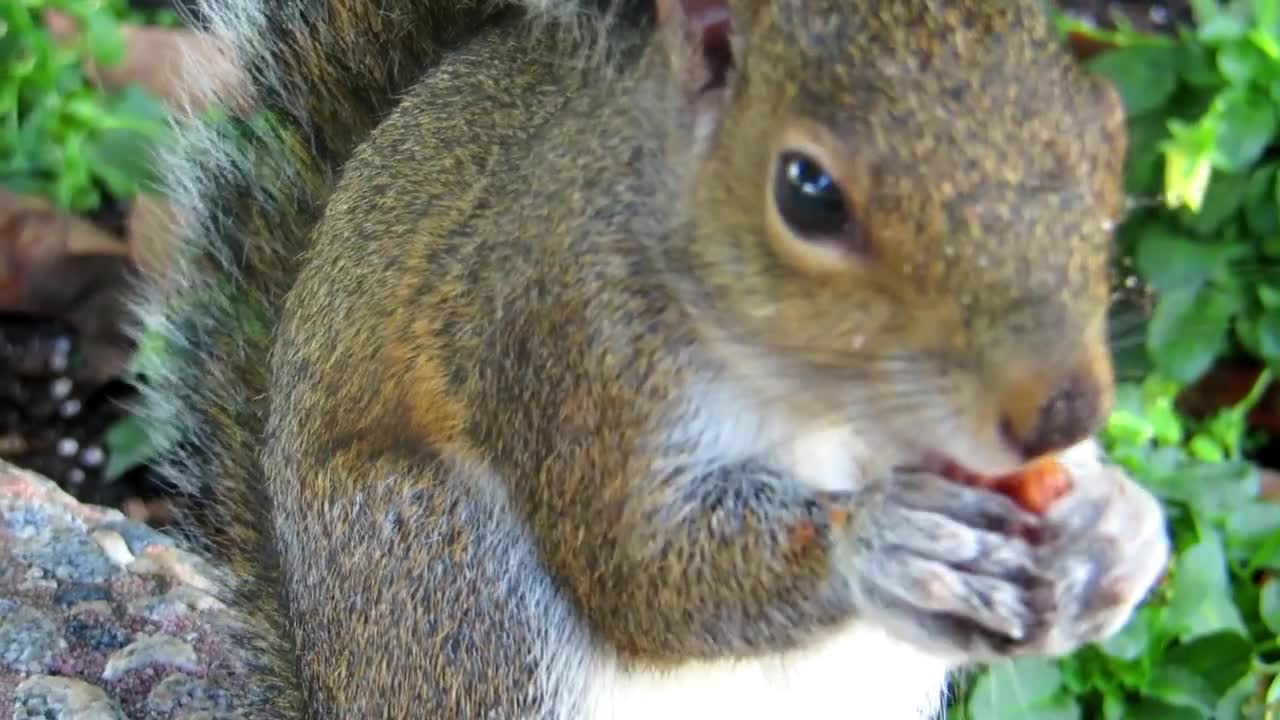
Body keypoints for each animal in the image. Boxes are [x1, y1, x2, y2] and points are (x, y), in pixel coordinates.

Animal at [135, 0, 1172, 712]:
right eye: (807, 192)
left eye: (1108, 140)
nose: (1063, 408)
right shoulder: (567, 340)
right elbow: (637, 572)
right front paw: (879, 541)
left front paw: (1120, 530)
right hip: (446, 583)